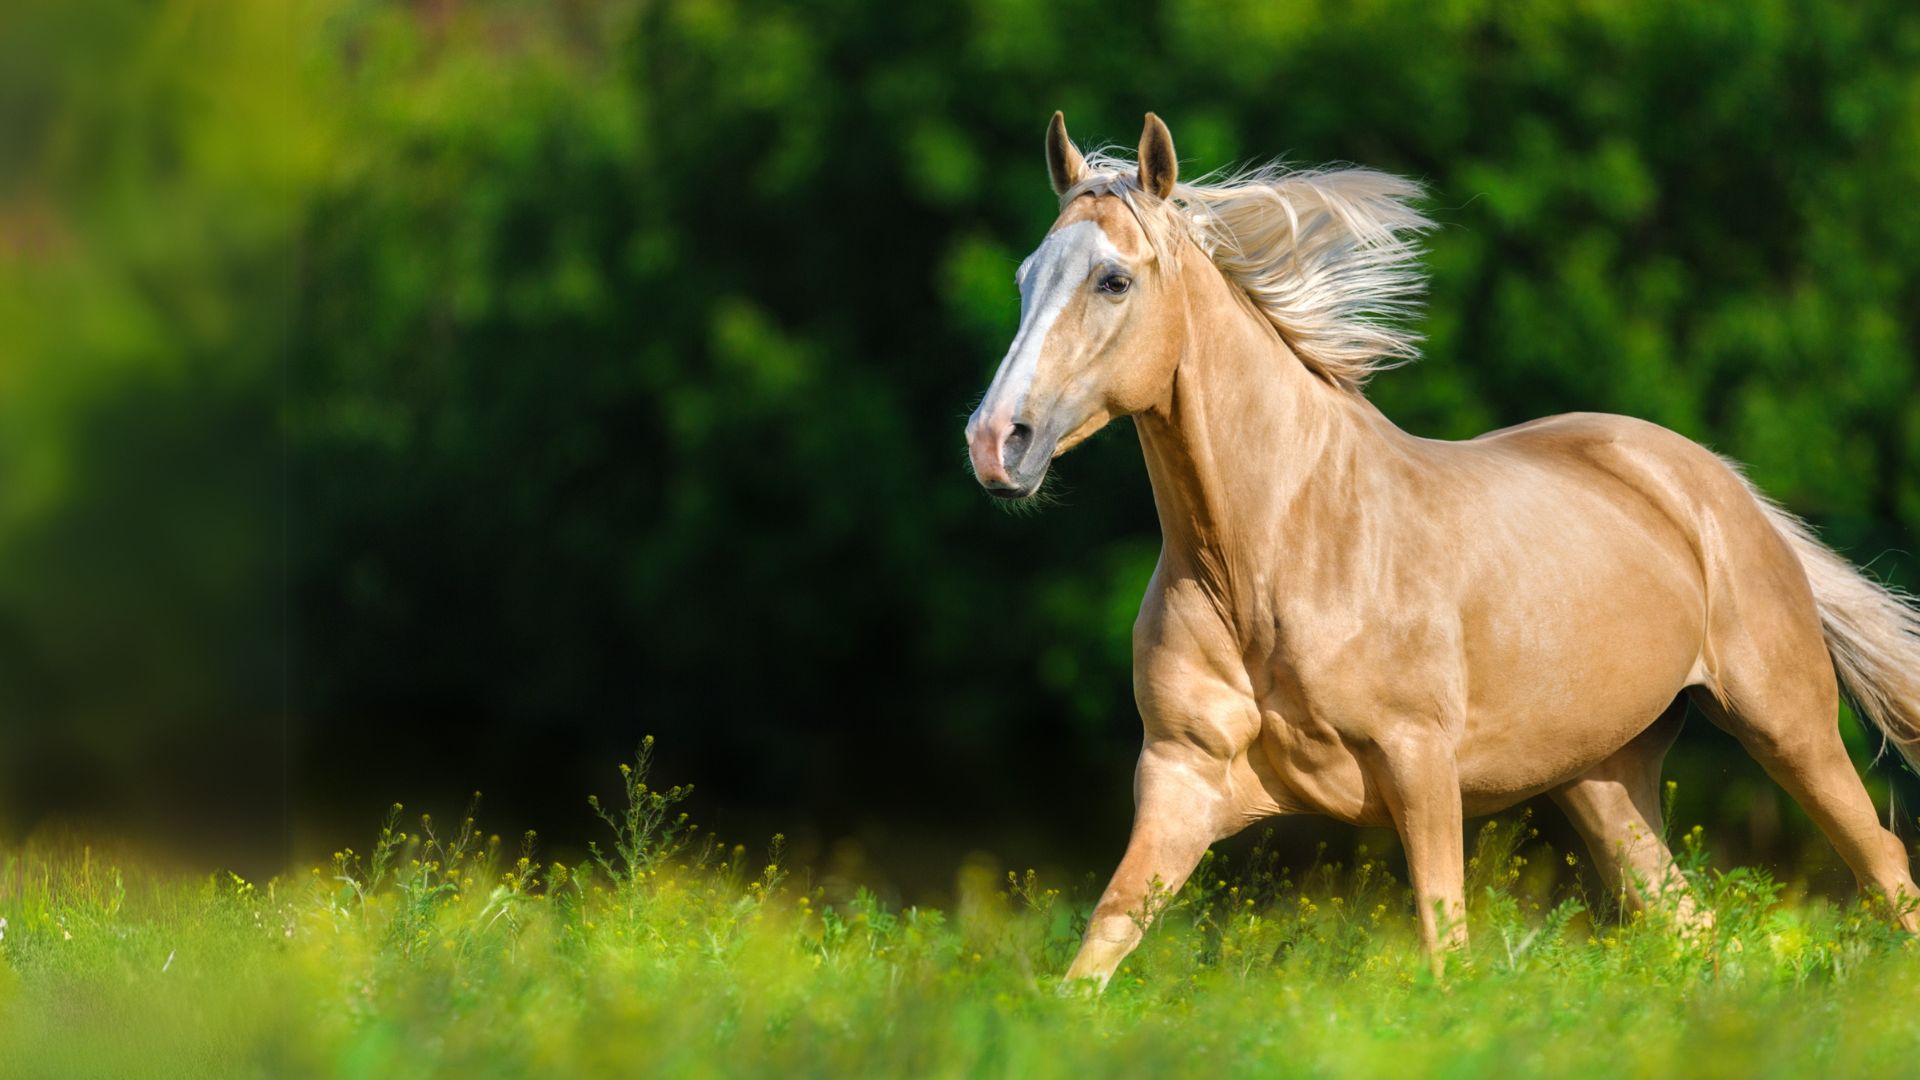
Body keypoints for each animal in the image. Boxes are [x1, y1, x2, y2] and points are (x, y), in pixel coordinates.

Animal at [965, 111, 1920, 989]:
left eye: (1114, 279)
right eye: (1024, 278)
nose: (995, 443)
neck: (1271, 560)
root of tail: (1717, 484)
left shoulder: (1419, 764)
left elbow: (1444, 946)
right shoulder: (1181, 775)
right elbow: (1103, 941)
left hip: (1787, 724)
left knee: (1887, 871)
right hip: (1604, 777)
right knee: (1692, 925)